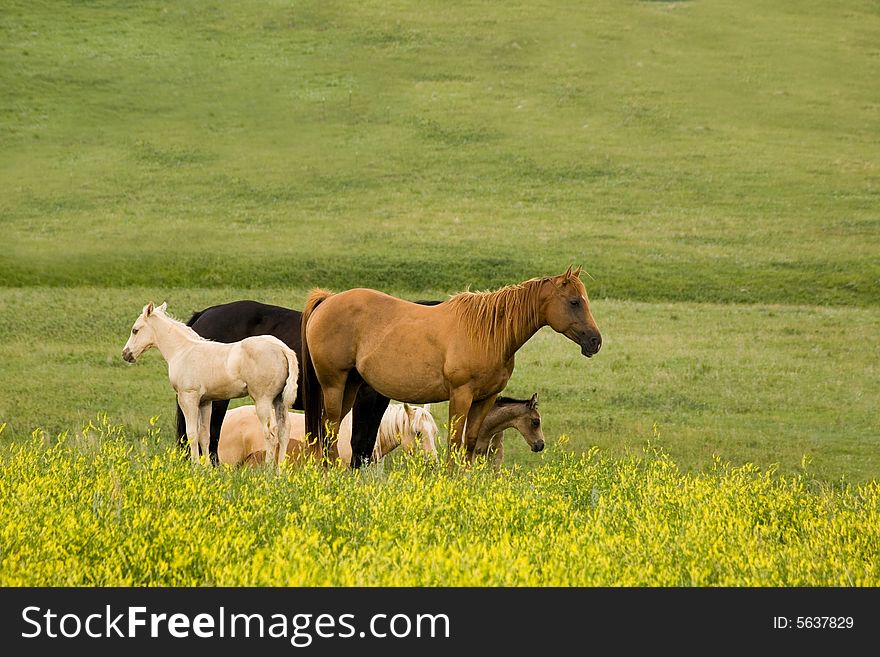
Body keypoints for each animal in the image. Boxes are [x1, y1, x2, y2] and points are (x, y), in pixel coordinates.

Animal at [175, 298, 422, 466]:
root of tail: (205, 314)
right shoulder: (364, 399)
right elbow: (359, 442)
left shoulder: (377, 402)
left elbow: (366, 443)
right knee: (209, 435)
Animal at [300, 264, 600, 458]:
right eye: (574, 302)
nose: (595, 341)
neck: (488, 333)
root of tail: (328, 300)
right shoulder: (461, 395)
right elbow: (454, 441)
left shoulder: (485, 399)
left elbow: (470, 442)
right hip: (334, 384)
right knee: (328, 430)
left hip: (350, 385)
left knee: (330, 431)